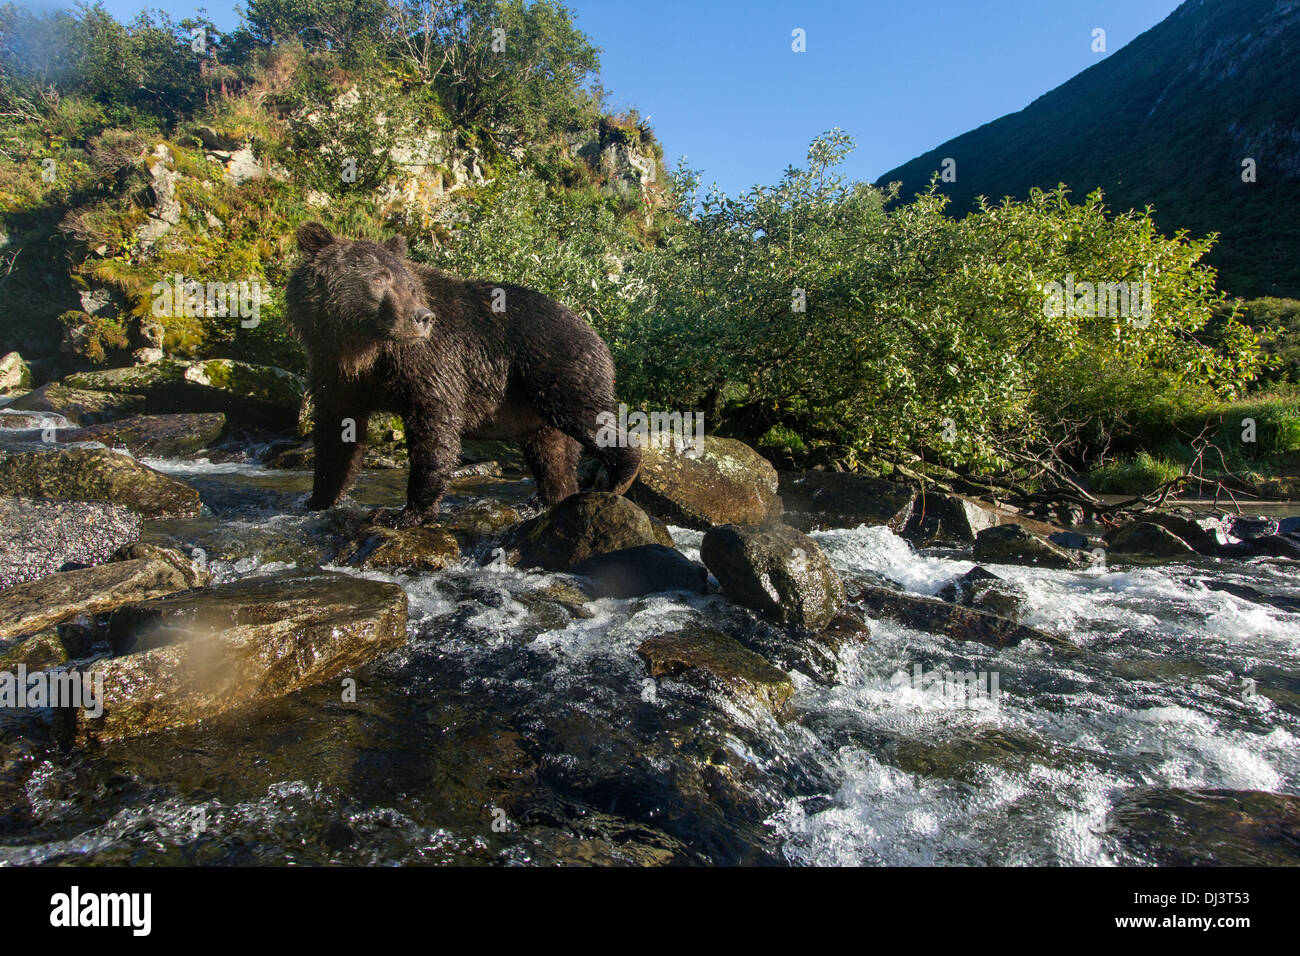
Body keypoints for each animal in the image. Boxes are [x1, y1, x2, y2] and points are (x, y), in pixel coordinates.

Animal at [285, 221, 641, 527]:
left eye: (409, 285)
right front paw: (319, 500)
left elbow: (434, 425)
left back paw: (621, 475)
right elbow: (337, 434)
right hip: (533, 407)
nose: (422, 317)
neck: (365, 351)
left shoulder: (433, 362)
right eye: (378, 279)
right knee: (550, 453)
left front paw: (404, 514)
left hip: (556, 367)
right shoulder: (335, 375)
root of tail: (596, 333)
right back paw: (546, 500)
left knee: (585, 414)